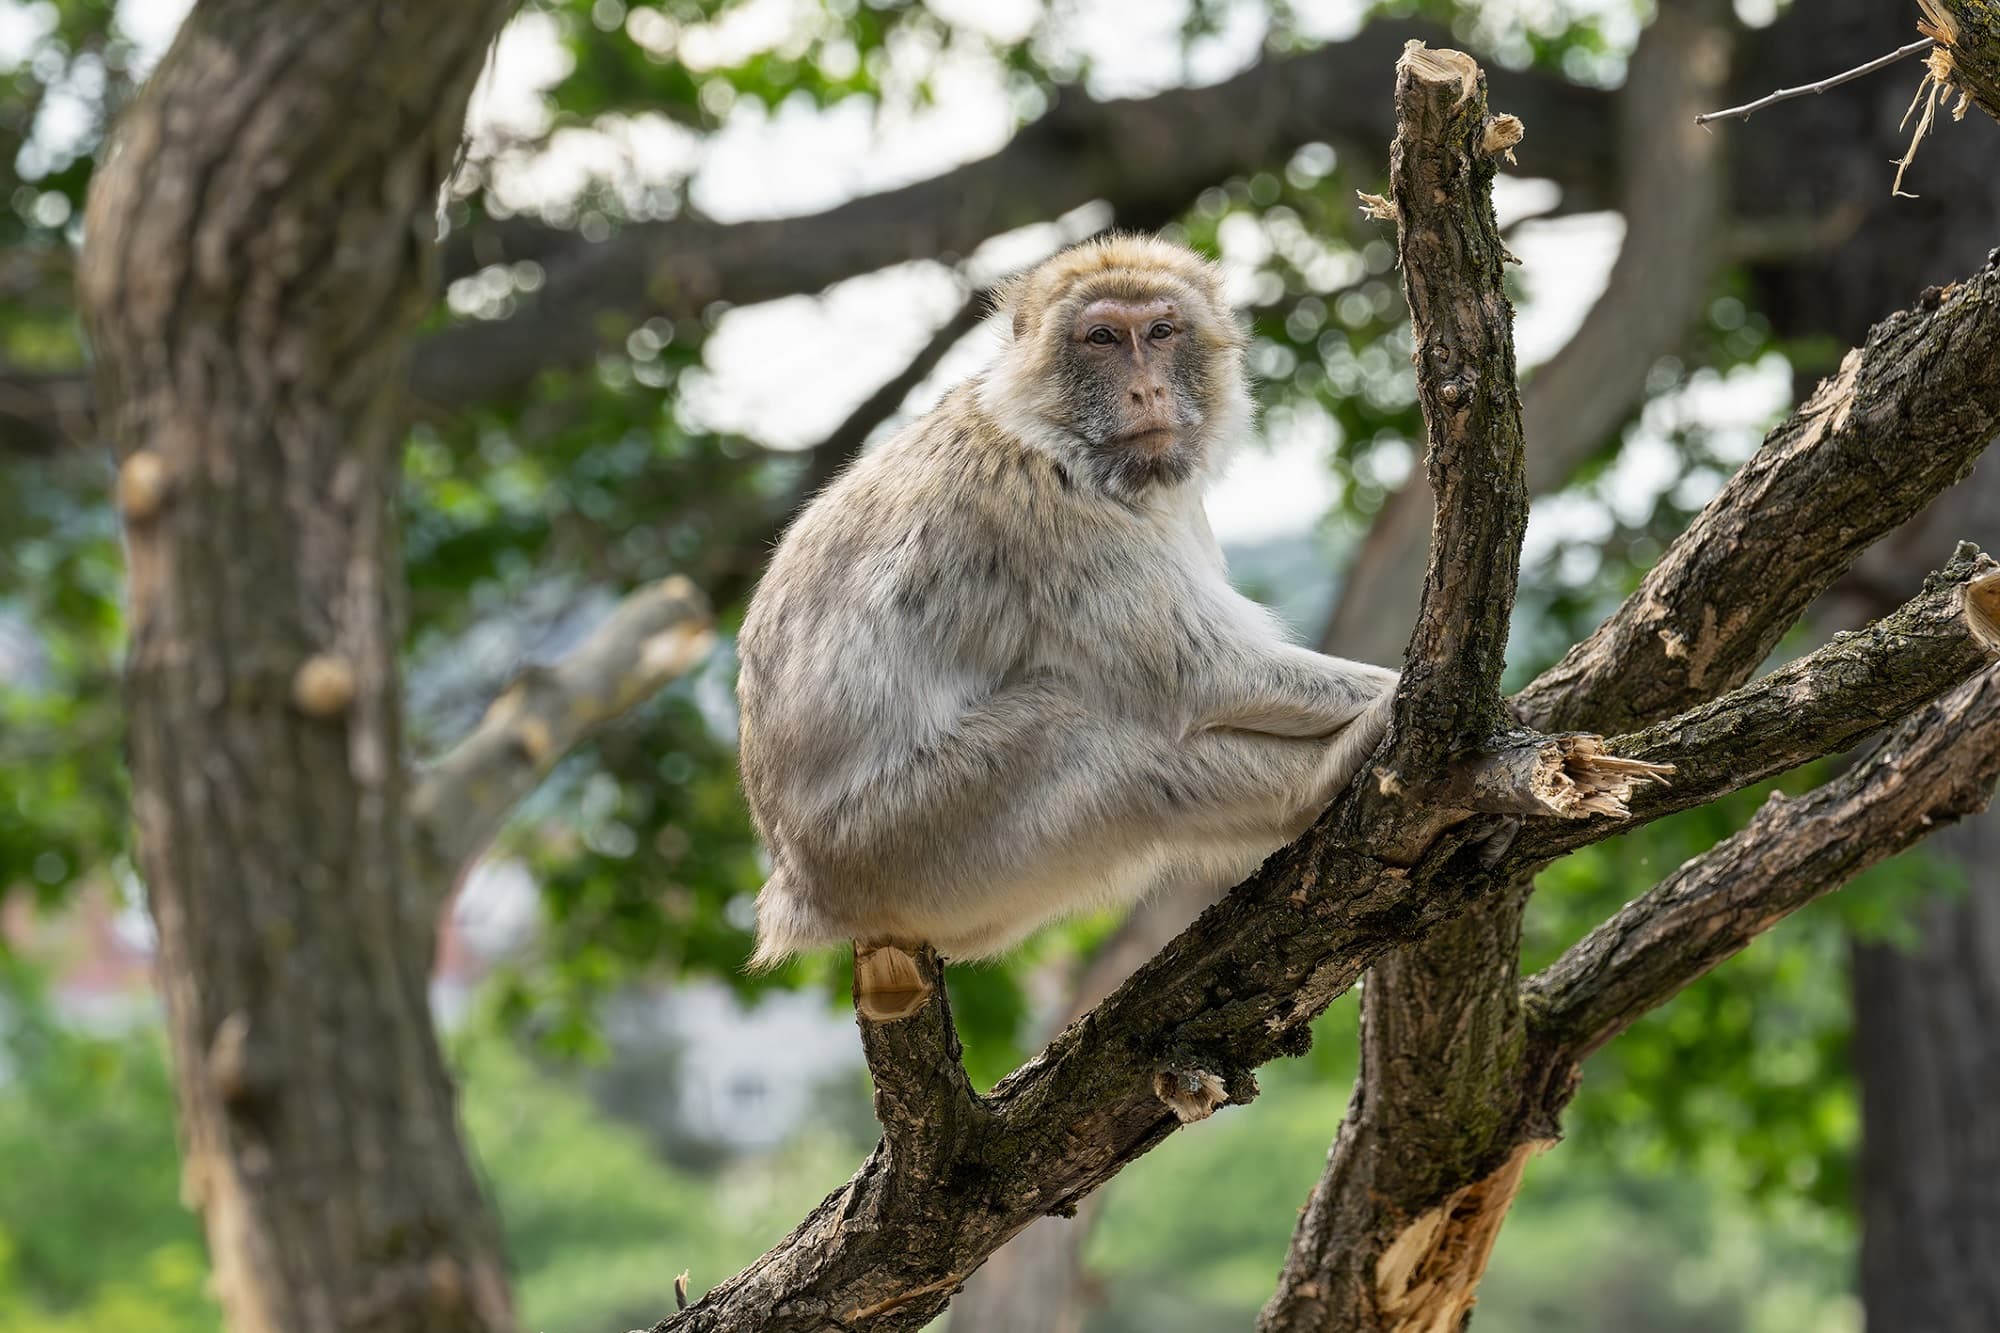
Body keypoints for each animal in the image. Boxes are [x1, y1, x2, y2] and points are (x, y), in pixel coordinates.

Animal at [736, 234, 1401, 1016]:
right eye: (1103, 338)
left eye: (1162, 331)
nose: (1145, 391)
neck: (1053, 439)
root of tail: (793, 891)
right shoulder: (1045, 511)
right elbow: (1200, 674)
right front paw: (1406, 692)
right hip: (900, 846)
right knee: (1084, 726)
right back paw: (1312, 784)